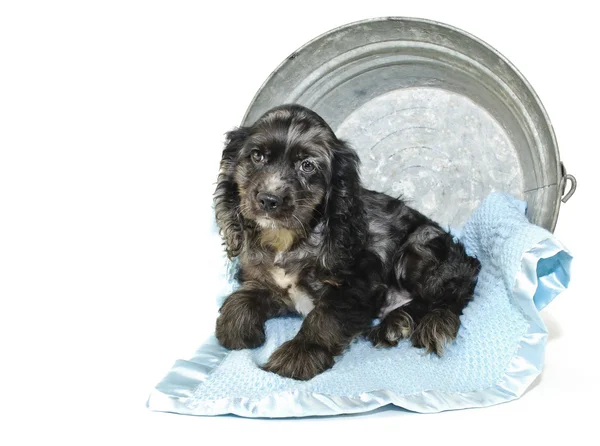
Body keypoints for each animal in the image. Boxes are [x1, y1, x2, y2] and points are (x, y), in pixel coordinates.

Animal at [213, 103, 480, 380]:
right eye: (257, 156)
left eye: (307, 165)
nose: (268, 199)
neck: (288, 240)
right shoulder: (270, 283)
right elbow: (242, 296)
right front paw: (235, 329)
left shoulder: (356, 285)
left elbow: (324, 317)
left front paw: (299, 355)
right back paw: (394, 323)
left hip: (417, 250)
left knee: (453, 296)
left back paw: (422, 323)